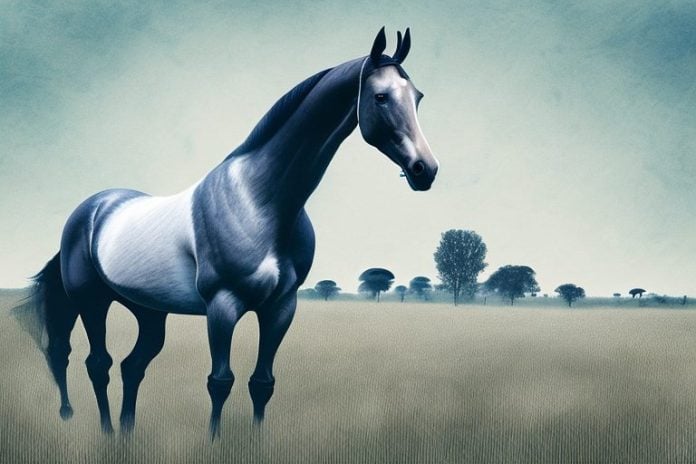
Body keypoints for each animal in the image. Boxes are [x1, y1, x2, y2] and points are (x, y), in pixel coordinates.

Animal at [16, 27, 439, 439]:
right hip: (92, 302)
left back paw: (127, 434)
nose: (425, 170)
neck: (259, 201)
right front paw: (214, 443)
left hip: (149, 311)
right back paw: (104, 433)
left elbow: (262, 383)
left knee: (131, 365)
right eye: (381, 97)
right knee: (97, 363)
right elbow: (220, 381)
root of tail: (91, 210)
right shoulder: (223, 306)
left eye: (417, 97)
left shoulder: (281, 307)